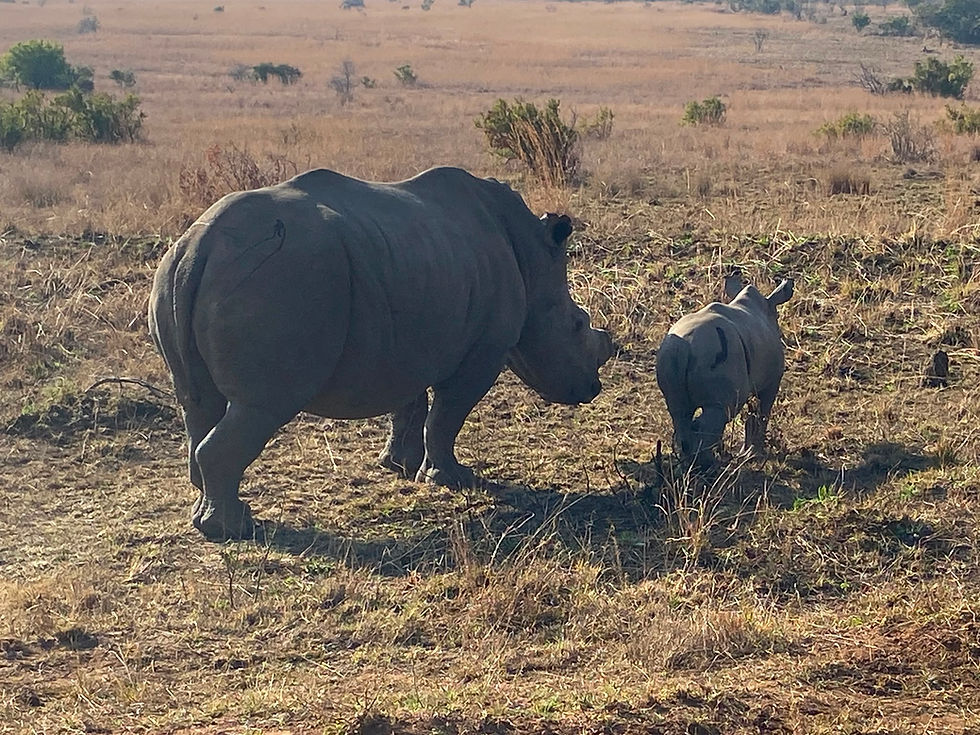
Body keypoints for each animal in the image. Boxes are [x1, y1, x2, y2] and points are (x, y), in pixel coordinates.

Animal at [149, 166, 614, 540]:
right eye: (577, 325)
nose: (593, 389)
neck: (532, 259)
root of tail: (198, 247)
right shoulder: (483, 351)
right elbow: (447, 415)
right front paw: (452, 479)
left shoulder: (406, 339)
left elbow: (409, 404)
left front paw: (400, 466)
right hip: (277, 279)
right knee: (262, 406)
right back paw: (235, 529)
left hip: (182, 275)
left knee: (198, 403)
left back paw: (208, 513)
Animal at [656, 273, 794, 464]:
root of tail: (682, 348)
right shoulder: (772, 380)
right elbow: (761, 414)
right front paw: (754, 455)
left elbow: (752, 417)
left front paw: (746, 454)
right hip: (713, 354)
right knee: (716, 413)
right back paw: (708, 463)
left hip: (669, 354)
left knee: (679, 413)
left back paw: (691, 462)